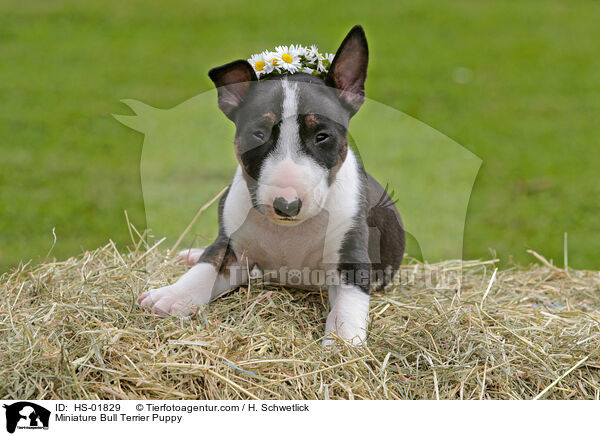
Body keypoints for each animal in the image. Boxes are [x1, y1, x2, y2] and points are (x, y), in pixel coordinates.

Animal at [138, 25, 406, 348]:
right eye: (259, 134)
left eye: (322, 136)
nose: (287, 205)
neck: (288, 233)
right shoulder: (234, 248)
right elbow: (207, 265)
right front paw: (171, 296)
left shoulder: (351, 257)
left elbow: (348, 304)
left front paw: (342, 341)